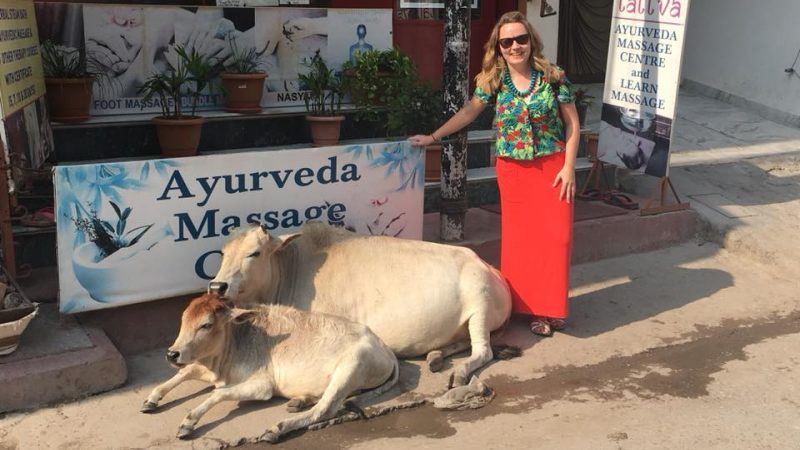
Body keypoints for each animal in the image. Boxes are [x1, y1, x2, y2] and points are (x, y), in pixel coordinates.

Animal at [142, 292, 398, 442]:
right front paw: (151, 399)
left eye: (206, 325)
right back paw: (299, 401)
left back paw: (278, 428)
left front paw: (189, 421)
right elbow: (185, 372)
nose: (172, 353)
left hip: (350, 367)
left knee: (325, 408)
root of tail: (386, 348)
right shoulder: (208, 368)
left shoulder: (262, 386)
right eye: (183, 319)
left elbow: (218, 394)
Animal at [209, 222, 516, 386]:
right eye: (222, 253)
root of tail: (490, 267)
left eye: (254, 253)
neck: (292, 268)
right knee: (462, 342)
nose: (217, 287)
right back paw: (435, 356)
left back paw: (460, 372)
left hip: (480, 305)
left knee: (483, 351)